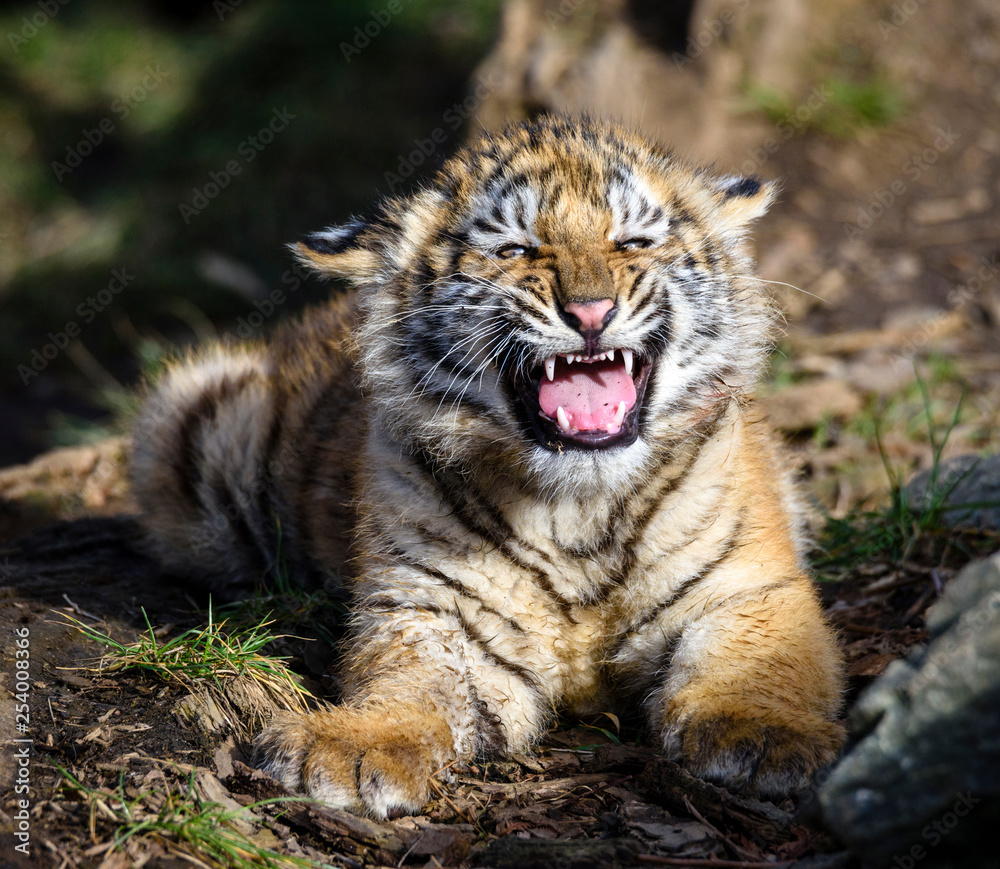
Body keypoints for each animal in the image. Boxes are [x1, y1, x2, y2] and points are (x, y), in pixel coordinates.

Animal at [131, 115, 844, 819]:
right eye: (515, 251)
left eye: (632, 242)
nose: (591, 312)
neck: (579, 508)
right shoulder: (430, 611)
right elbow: (408, 688)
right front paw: (349, 747)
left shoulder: (748, 590)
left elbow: (762, 664)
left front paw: (766, 734)